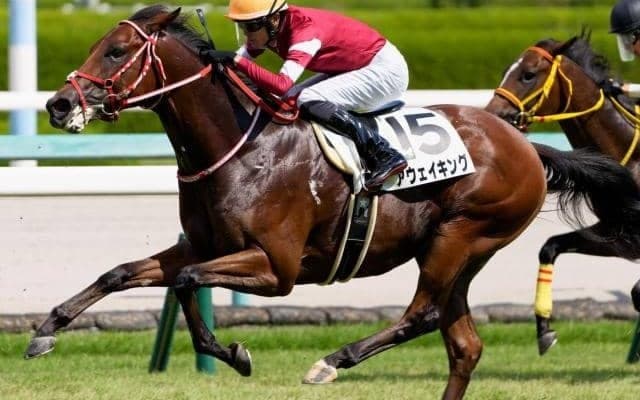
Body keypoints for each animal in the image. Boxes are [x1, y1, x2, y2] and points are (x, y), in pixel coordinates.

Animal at [486, 32, 640, 355]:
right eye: (507, 69)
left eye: (528, 74)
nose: (494, 116)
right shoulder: (619, 233)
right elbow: (550, 247)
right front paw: (544, 329)